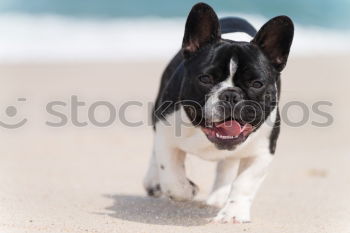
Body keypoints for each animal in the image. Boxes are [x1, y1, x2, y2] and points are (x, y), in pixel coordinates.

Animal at [142, 2, 292, 224]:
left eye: (257, 84)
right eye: (205, 79)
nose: (230, 95)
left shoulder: (262, 152)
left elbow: (245, 183)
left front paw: (234, 213)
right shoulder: (166, 134)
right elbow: (171, 175)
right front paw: (186, 189)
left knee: (226, 167)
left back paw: (219, 197)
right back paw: (153, 182)